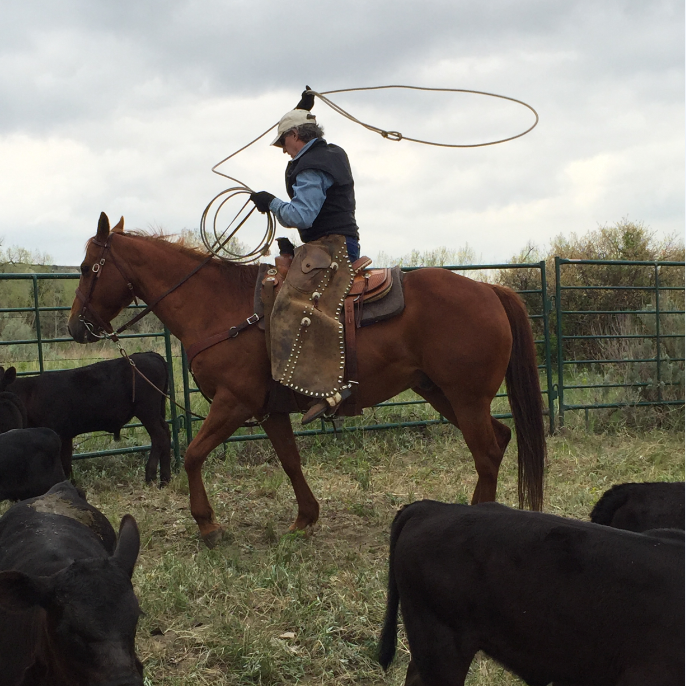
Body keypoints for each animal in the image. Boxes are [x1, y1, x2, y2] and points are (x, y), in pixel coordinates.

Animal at [0, 352, 172, 486]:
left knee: (159, 436)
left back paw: (150, 477)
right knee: (166, 432)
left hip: (147, 410)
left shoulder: (61, 433)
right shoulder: (65, 435)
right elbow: (66, 460)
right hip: (156, 412)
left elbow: (64, 461)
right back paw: (165, 478)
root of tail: (150, 354)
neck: (30, 393)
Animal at [68, 215, 548, 548]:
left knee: (486, 452)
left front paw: (208, 525)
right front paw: (304, 519)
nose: (76, 327)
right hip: (443, 394)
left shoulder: (234, 403)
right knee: (499, 440)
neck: (219, 307)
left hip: (466, 398)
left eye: (88, 267)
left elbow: (192, 455)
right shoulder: (269, 410)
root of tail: (490, 291)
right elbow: (290, 461)